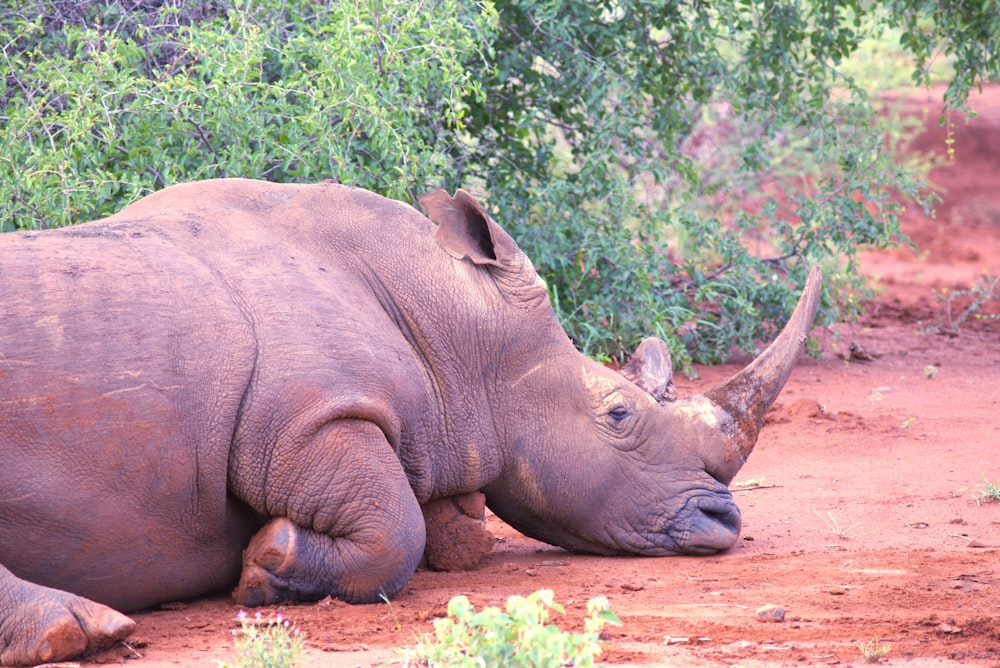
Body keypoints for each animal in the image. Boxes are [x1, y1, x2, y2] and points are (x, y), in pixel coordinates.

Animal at [0, 177, 820, 664]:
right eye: (618, 414)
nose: (723, 522)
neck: (456, 326)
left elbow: (447, 530)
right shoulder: (307, 418)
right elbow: (397, 527)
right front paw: (268, 562)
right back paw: (90, 628)